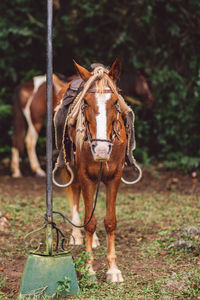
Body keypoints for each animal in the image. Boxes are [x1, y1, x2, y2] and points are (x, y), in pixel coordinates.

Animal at [54, 60, 135, 282]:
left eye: (115, 102)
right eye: (86, 102)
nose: (101, 149)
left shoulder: (114, 177)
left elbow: (109, 221)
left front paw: (113, 270)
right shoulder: (85, 176)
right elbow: (89, 222)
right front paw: (89, 270)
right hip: (73, 167)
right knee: (75, 193)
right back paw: (76, 234)